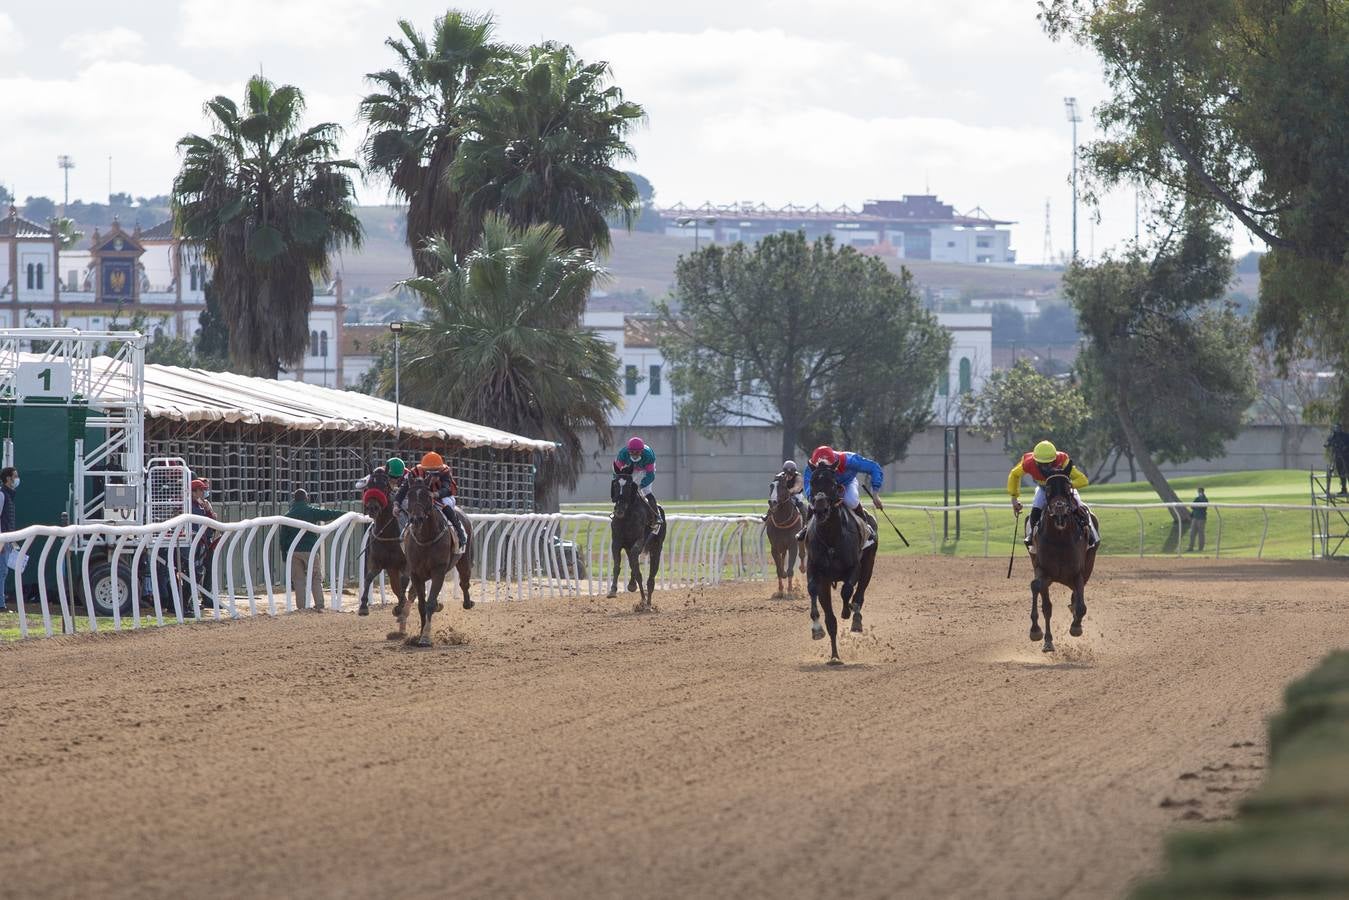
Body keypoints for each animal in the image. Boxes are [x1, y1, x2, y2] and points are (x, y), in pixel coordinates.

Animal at [393, 474, 474, 644]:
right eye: (410, 495)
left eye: (427, 496)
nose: (416, 520)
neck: (426, 538)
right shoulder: (416, 573)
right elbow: (421, 605)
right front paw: (420, 634)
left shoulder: (438, 571)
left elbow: (429, 603)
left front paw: (425, 637)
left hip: (465, 560)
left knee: (464, 582)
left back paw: (467, 603)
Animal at [609, 472, 666, 612]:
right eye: (615, 485)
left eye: (629, 486)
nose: (619, 509)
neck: (627, 516)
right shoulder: (616, 542)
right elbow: (618, 565)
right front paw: (613, 590)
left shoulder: (640, 540)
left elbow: (636, 564)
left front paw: (644, 600)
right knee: (633, 564)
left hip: (656, 548)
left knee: (651, 578)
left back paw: (648, 604)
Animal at [804, 464, 879, 661]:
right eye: (812, 481)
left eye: (832, 482)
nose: (820, 510)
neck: (831, 537)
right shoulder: (816, 571)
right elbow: (814, 592)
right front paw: (817, 629)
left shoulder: (855, 567)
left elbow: (847, 591)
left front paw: (847, 611)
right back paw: (835, 656)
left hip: (869, 563)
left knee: (859, 593)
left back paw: (856, 619)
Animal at [1025, 472, 1100, 655]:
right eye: (1048, 488)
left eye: (1067, 488)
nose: (1059, 508)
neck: (1059, 538)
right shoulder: (1043, 570)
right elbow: (1036, 588)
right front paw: (1035, 631)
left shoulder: (1078, 572)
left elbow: (1081, 605)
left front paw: (1076, 626)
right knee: (1047, 606)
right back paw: (1048, 641)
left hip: (1088, 564)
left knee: (1076, 594)